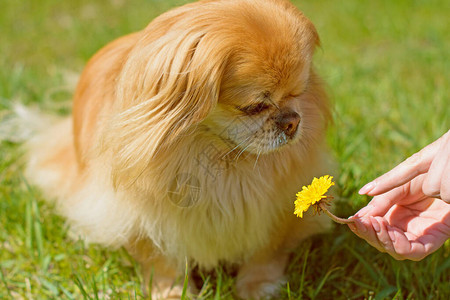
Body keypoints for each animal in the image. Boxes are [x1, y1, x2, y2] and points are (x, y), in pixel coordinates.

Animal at [25, 1, 334, 298]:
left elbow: (267, 252)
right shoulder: (136, 214)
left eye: (298, 94)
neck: (219, 158)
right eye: (255, 107)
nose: (292, 121)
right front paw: (171, 291)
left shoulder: (276, 207)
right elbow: (159, 259)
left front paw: (259, 286)